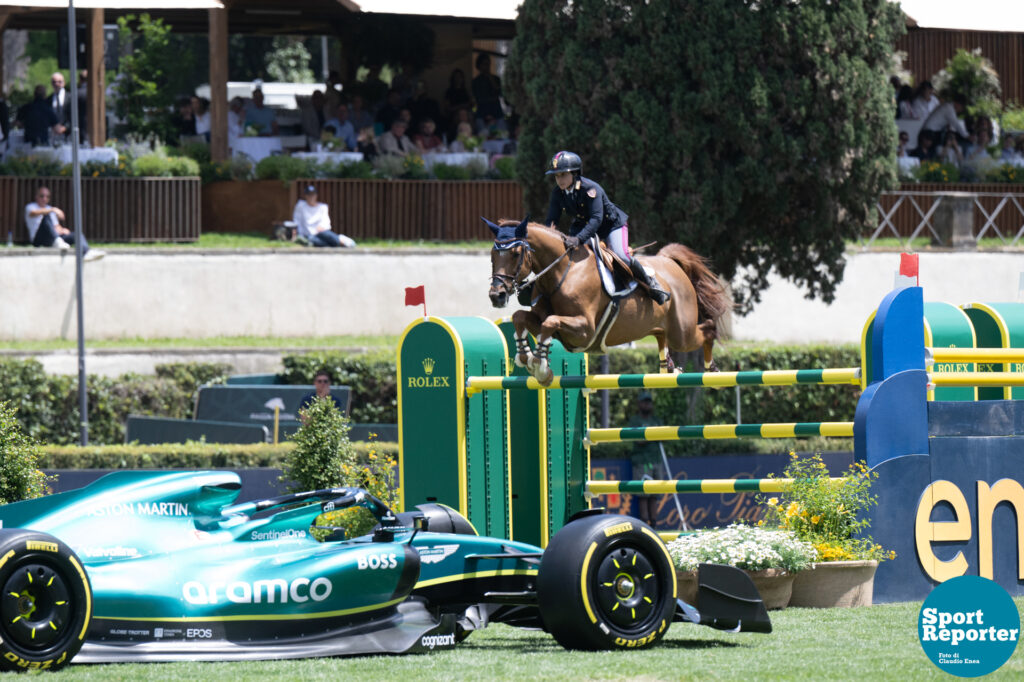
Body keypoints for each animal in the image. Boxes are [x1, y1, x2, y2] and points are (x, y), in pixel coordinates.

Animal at [485, 216, 733, 382]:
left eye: (516, 254)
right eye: (492, 255)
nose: (497, 296)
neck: (562, 272)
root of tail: (671, 263)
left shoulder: (585, 329)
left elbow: (550, 322)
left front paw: (540, 366)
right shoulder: (558, 328)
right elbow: (521, 317)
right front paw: (524, 356)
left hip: (682, 334)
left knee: (707, 330)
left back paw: (712, 369)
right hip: (662, 329)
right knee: (663, 339)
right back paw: (670, 368)